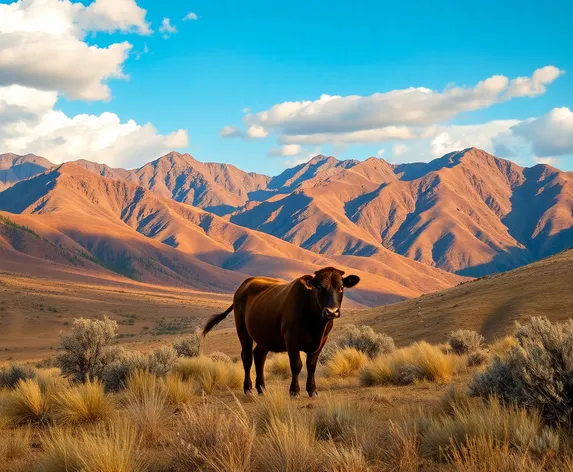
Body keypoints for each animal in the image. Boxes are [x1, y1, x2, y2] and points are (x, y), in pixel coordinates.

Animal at [203, 268, 360, 396]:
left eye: (341, 287)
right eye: (319, 287)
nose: (332, 311)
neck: (316, 323)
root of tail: (245, 284)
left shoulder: (321, 341)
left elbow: (311, 365)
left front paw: (312, 390)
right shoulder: (291, 338)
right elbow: (296, 364)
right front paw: (294, 391)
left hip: (265, 336)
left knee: (259, 356)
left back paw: (261, 388)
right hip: (243, 331)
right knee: (247, 358)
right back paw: (248, 389)